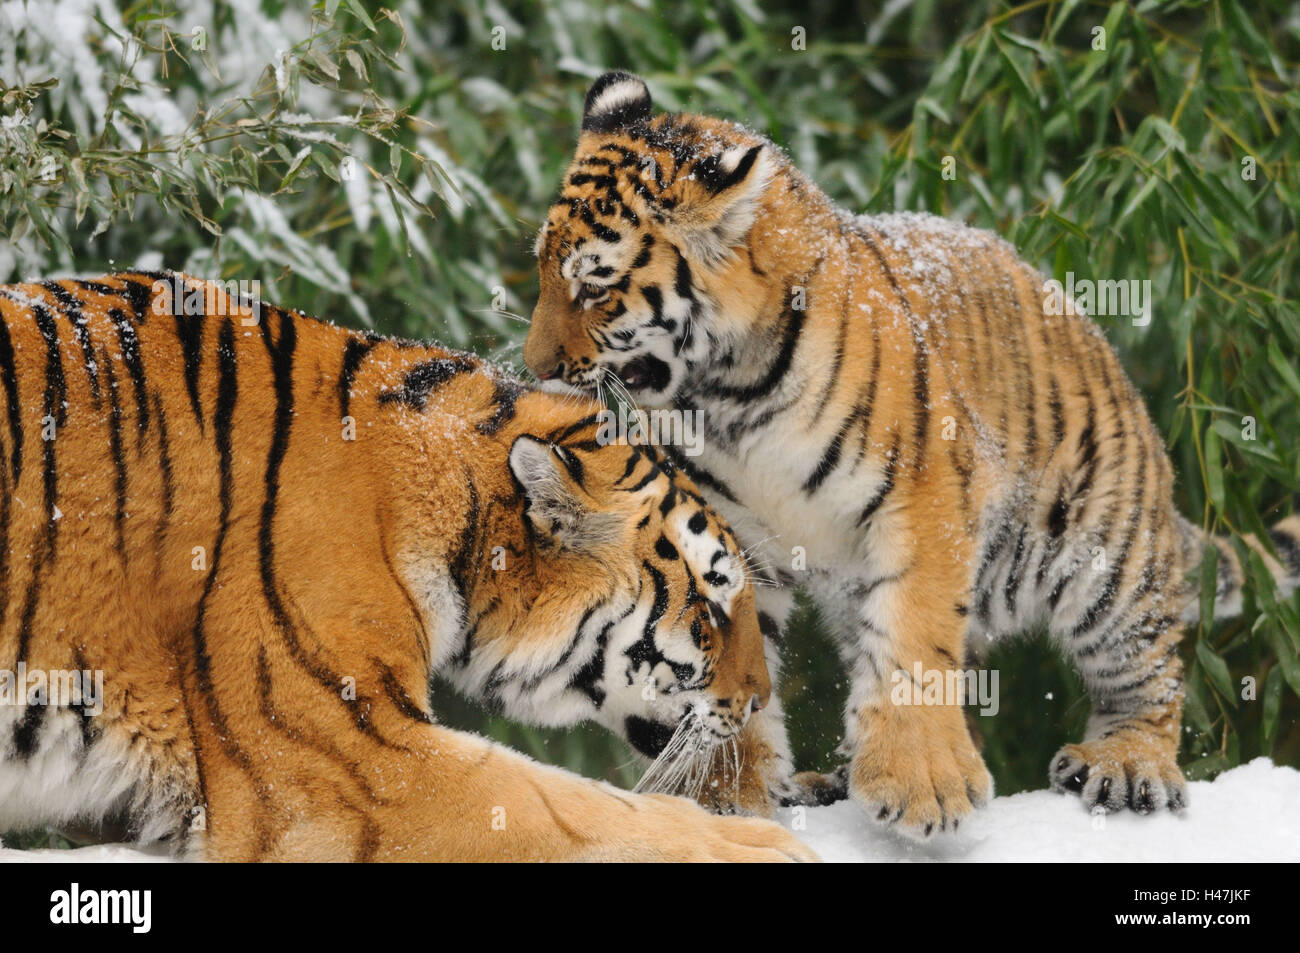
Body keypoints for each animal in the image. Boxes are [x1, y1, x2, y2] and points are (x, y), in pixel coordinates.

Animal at [525, 72, 1300, 832]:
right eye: (541, 269)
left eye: (594, 284)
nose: (535, 366)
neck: (729, 393)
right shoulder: (722, 527)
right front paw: (725, 796)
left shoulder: (925, 497)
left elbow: (913, 638)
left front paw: (922, 787)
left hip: (1104, 554)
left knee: (1147, 673)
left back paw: (1129, 764)